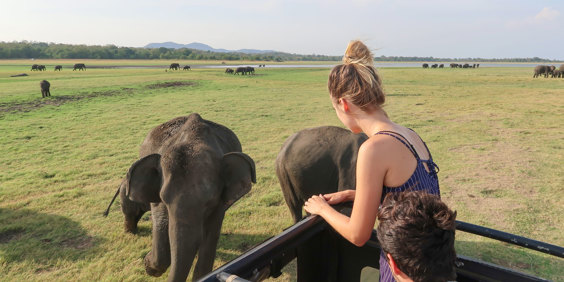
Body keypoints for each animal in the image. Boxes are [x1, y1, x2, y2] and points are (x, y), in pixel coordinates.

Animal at [125, 113, 256, 280]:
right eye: (164, 198)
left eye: (209, 202)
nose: (146, 259)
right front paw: (148, 264)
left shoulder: (220, 203)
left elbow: (210, 236)